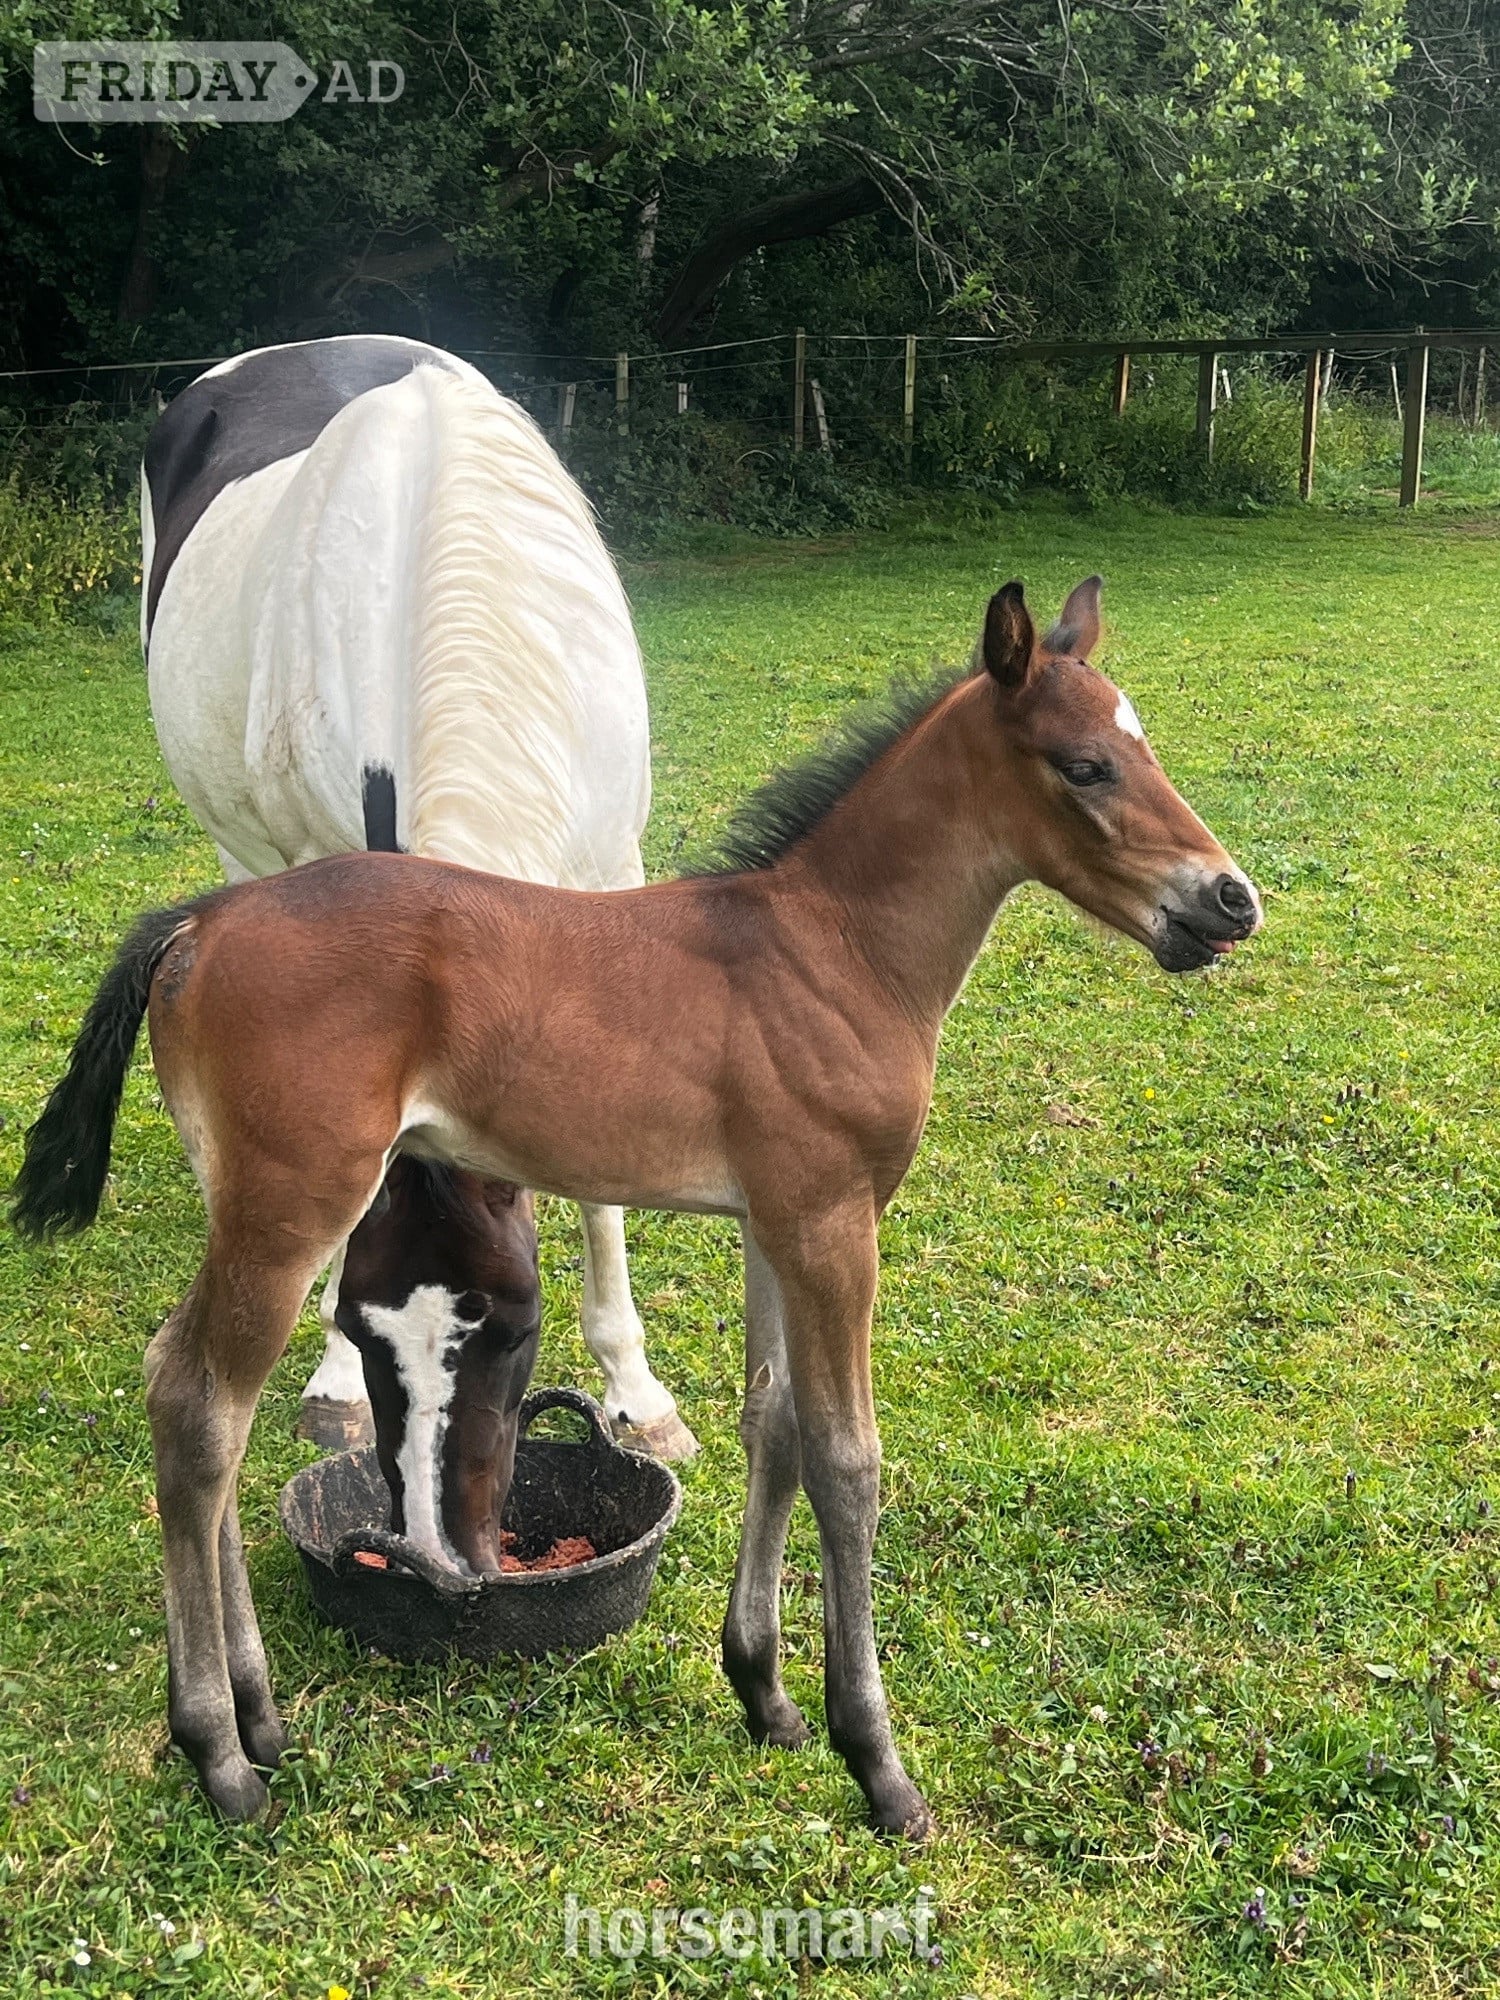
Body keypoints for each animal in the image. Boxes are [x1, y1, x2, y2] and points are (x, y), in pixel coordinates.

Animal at [14, 576, 1261, 1835]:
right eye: (1086, 765)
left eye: (1141, 746)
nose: (1230, 897)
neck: (837, 948)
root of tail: (199, 921)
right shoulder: (833, 1220)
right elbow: (848, 1459)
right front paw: (878, 1760)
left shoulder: (774, 1219)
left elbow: (775, 1424)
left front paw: (764, 1691)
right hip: (291, 1204)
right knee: (200, 1409)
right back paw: (218, 1750)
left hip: (253, 1202)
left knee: (194, 1397)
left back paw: (260, 1717)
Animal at [140, 332, 695, 1466]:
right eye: (375, 1328)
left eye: (509, 1330)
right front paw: (333, 1381)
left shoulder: (609, 873)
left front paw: (637, 1392)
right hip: (243, 855)